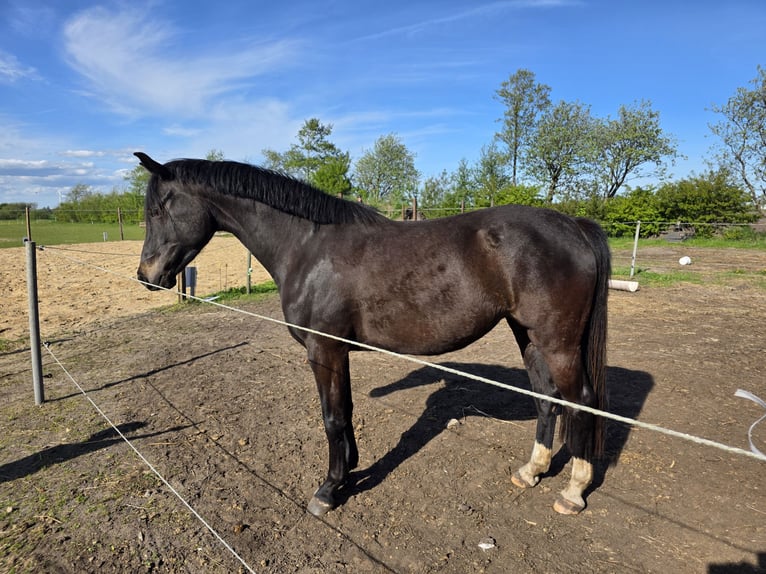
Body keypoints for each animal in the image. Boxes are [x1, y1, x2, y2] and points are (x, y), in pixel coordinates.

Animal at [134, 152, 610, 517]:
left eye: (156, 210)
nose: (146, 276)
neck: (307, 247)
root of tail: (573, 226)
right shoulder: (337, 351)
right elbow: (343, 412)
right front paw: (348, 472)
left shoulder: (323, 348)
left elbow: (331, 417)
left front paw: (328, 491)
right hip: (527, 335)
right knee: (547, 399)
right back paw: (531, 472)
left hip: (558, 342)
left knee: (583, 402)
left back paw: (573, 492)